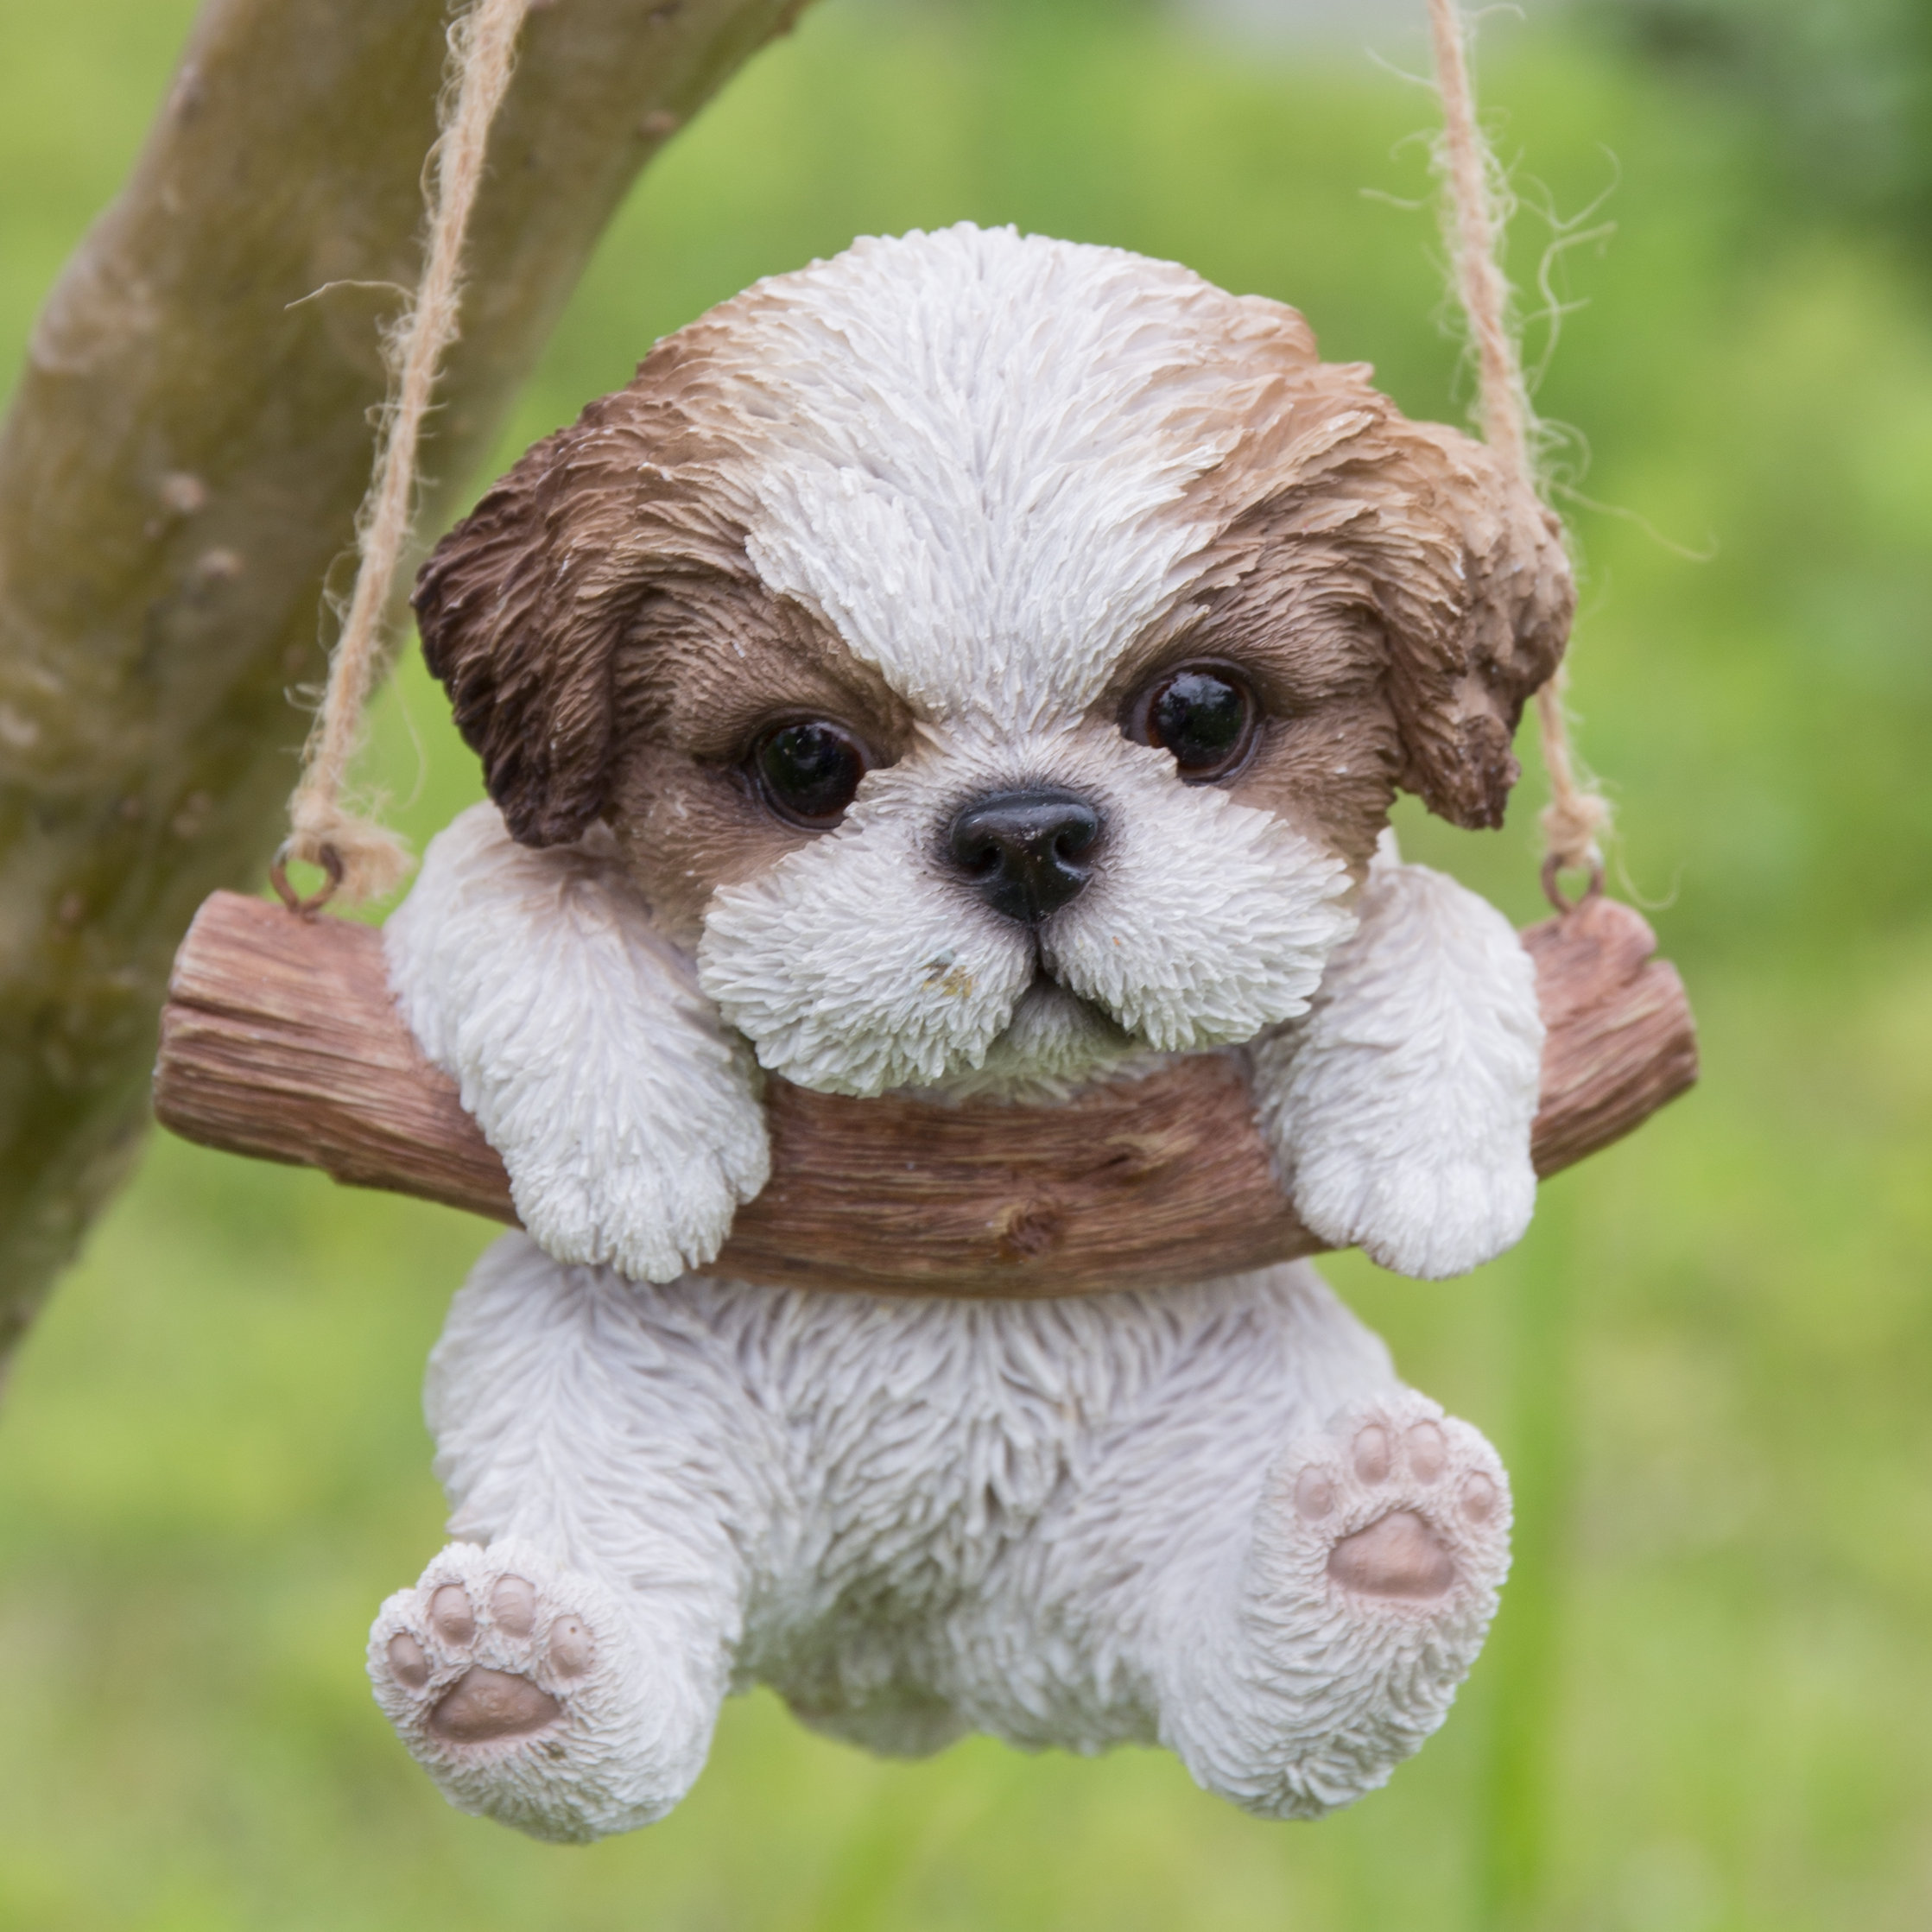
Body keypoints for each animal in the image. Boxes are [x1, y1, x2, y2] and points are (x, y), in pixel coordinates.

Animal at [372, 225, 1568, 1839]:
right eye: (806, 760)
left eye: (1201, 714)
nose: (1024, 835)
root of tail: (908, 1658)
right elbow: (519, 893)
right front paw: (637, 1152)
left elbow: (1429, 917)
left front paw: (1432, 1167)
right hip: (605, 1424)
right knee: (626, 1678)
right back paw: (510, 1685)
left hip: (1197, 1468)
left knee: (1257, 1725)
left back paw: (1380, 1559)